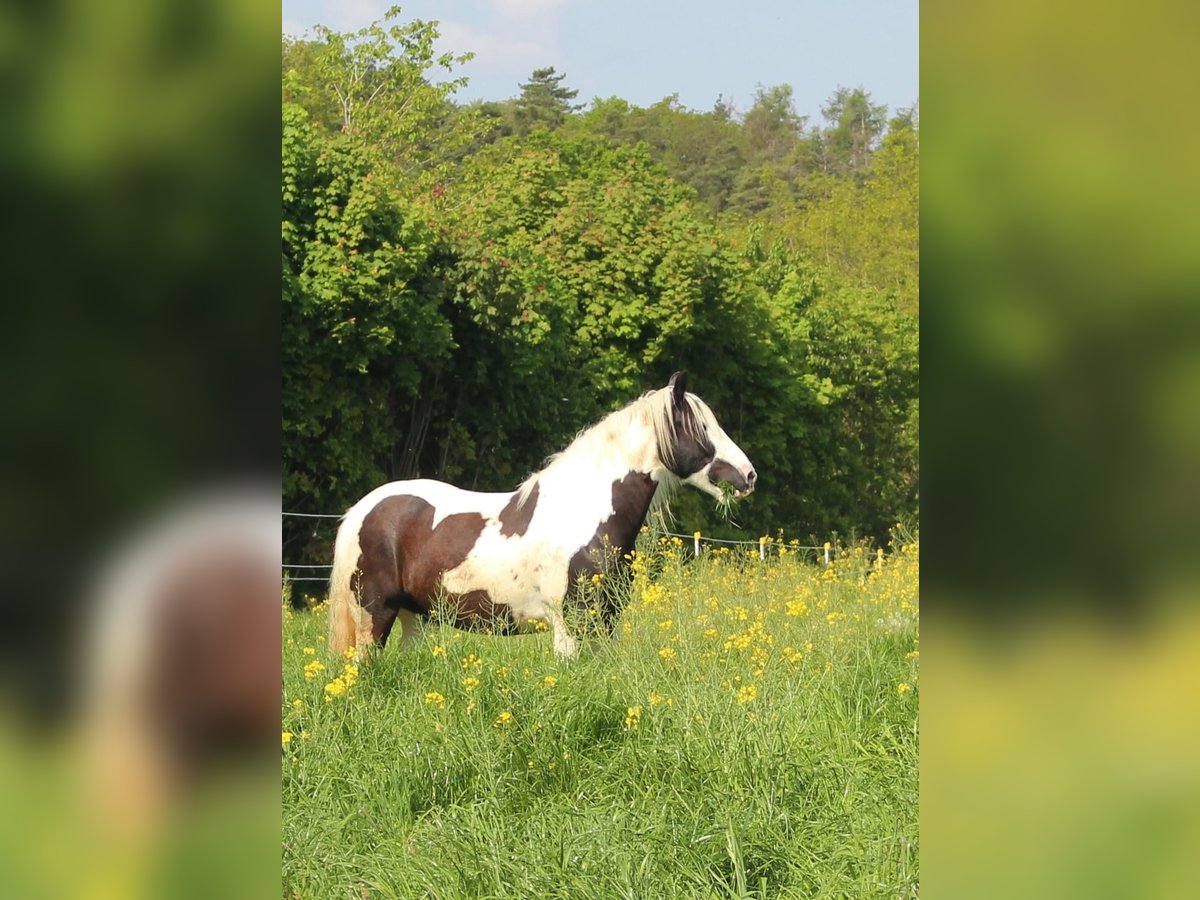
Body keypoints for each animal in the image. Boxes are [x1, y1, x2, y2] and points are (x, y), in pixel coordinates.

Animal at [326, 374, 758, 662]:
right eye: (701, 428)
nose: (749, 475)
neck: (585, 516)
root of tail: (360, 511)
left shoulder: (606, 623)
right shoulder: (568, 626)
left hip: (412, 617)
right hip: (375, 616)